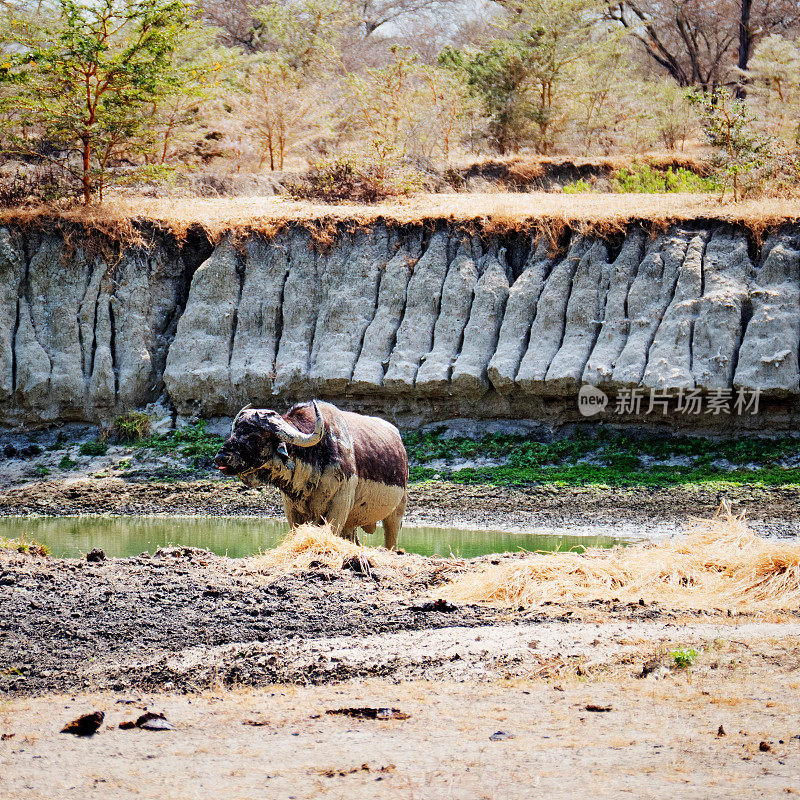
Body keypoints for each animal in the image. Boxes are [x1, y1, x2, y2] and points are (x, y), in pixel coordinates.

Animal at [214, 400, 406, 552]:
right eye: (234, 432)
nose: (221, 457)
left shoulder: (339, 505)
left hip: (397, 511)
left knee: (392, 536)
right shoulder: (291, 508)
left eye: (254, 436)